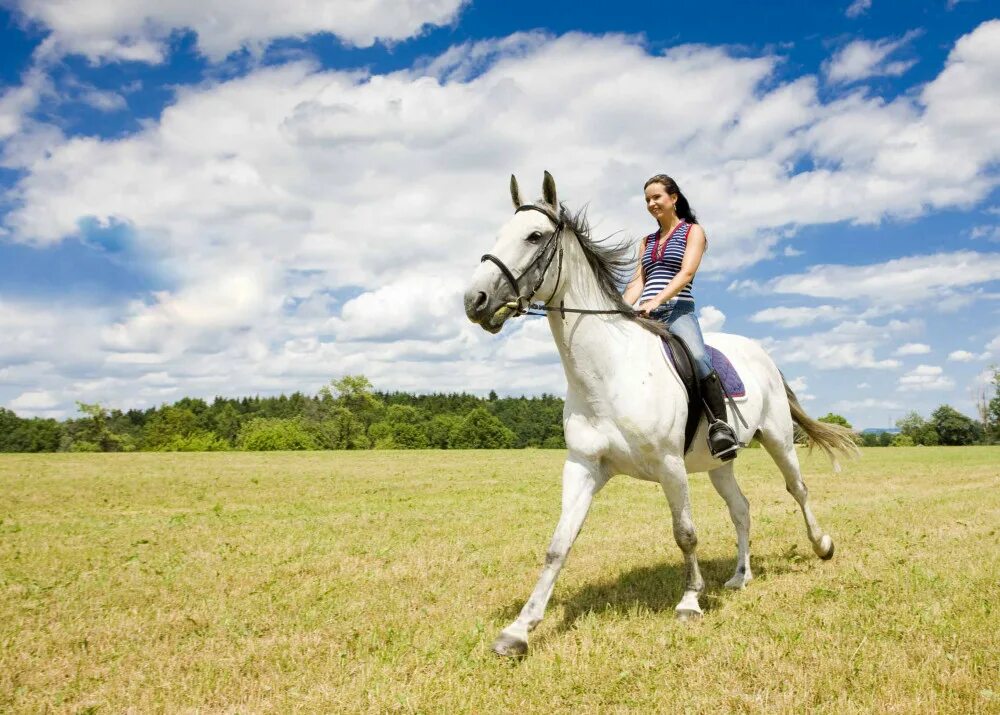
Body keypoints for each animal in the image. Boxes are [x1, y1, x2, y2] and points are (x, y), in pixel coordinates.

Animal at [464, 172, 856, 660]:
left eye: (533, 236)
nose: (474, 300)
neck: (609, 373)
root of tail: (760, 352)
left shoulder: (671, 466)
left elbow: (685, 533)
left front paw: (690, 601)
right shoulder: (584, 466)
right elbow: (558, 544)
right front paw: (519, 630)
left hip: (778, 440)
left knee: (797, 489)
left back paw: (822, 545)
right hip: (719, 463)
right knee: (741, 509)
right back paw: (740, 576)